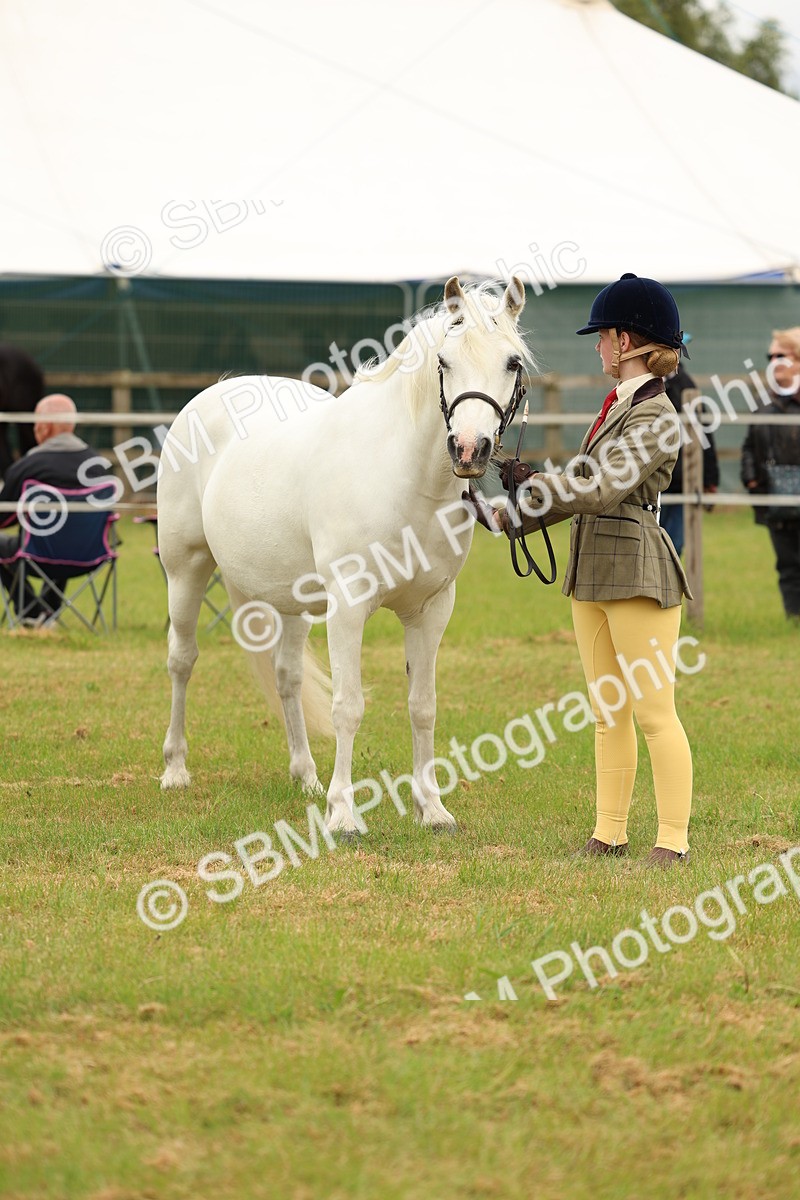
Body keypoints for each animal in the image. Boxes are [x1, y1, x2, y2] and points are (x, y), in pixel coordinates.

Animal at [157, 276, 531, 834]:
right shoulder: (349, 605)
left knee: (287, 677)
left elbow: (423, 706)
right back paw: (176, 770)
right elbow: (348, 707)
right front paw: (343, 815)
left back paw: (306, 776)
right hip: (186, 570)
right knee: (182, 661)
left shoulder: (431, 610)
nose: (469, 449)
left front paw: (432, 808)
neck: (404, 478)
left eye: (512, 362)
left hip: (291, 601)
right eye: (444, 361)